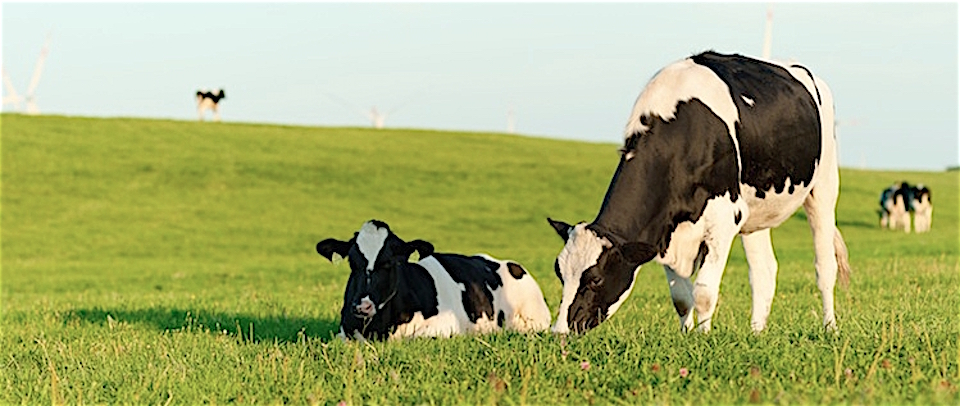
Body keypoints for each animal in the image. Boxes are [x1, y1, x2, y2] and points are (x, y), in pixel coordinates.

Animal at [544, 51, 852, 336]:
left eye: (595, 278)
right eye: (559, 272)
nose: (559, 331)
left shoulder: (725, 216)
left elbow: (703, 292)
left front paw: (704, 338)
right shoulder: (664, 227)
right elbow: (681, 297)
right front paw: (686, 335)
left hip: (824, 187)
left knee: (825, 266)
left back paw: (830, 327)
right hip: (756, 211)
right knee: (763, 271)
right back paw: (756, 332)